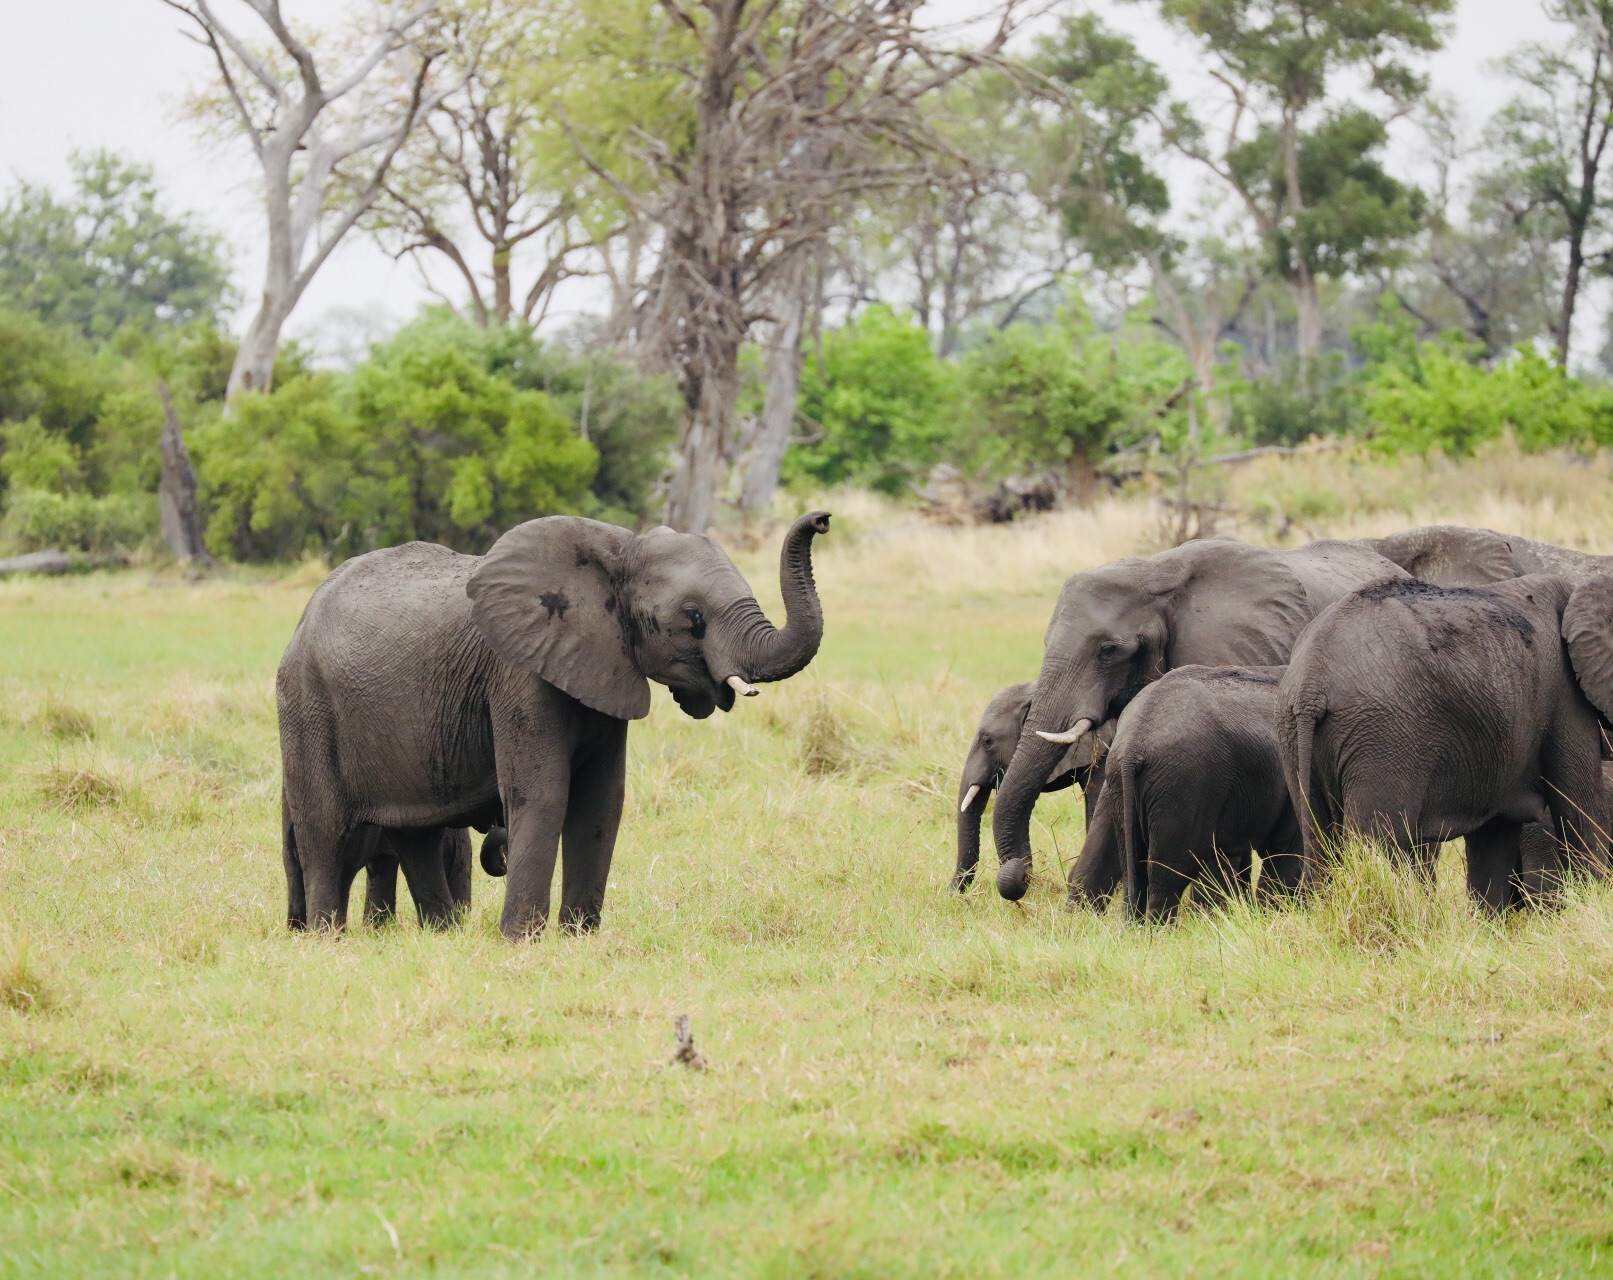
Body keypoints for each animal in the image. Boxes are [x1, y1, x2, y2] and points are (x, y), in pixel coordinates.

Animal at [277, 509, 832, 935]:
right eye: (693, 617)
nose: (822, 519)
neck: (619, 549)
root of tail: (302, 619)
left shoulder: (604, 666)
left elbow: (602, 802)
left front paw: (579, 937)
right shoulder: (519, 673)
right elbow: (544, 795)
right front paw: (520, 941)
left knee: (417, 834)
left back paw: (441, 935)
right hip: (306, 701)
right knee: (323, 830)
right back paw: (327, 938)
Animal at [1116, 664, 1303, 922]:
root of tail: (1133, 744)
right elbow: (1286, 851)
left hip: (1123, 785)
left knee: (1132, 871)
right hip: (1183, 785)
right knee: (1168, 877)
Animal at [1271, 573, 1613, 915]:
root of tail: (1310, 685)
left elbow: (1495, 838)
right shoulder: (1566, 698)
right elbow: (1578, 811)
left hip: (1295, 734)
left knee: (1319, 841)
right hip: (1384, 736)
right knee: (1375, 842)